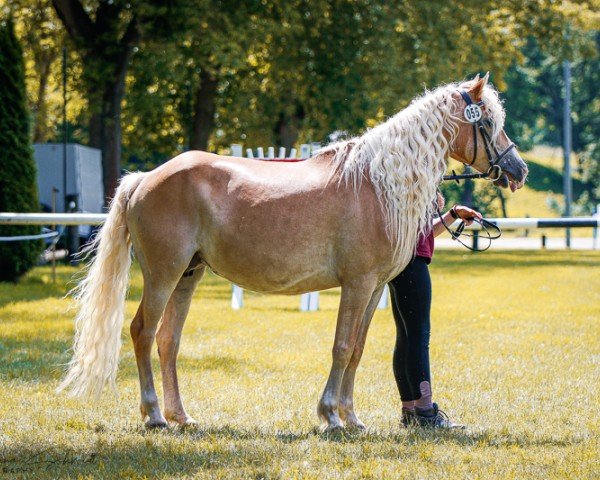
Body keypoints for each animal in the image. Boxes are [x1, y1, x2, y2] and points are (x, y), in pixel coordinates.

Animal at [56, 74, 524, 432]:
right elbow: (341, 347)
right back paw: (154, 415)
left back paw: (181, 416)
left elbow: (357, 348)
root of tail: (145, 177)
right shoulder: (356, 285)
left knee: (168, 340)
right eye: (488, 121)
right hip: (162, 274)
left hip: (188, 275)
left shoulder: (374, 288)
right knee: (142, 331)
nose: (518, 170)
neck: (376, 183)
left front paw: (351, 418)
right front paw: (331, 417)